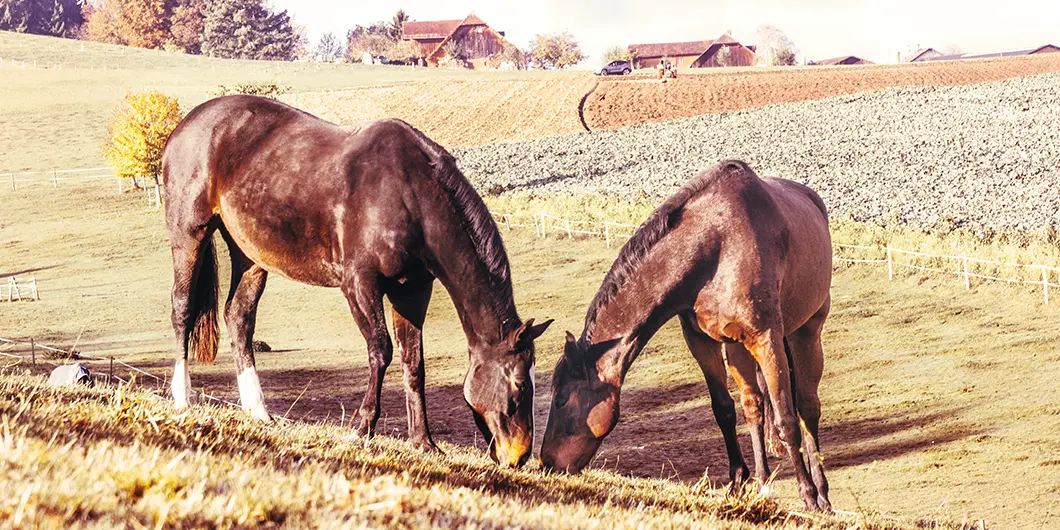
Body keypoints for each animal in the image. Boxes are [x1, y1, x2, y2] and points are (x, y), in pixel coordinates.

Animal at [162, 95, 552, 467]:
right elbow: (381, 350)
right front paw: (362, 428)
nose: (519, 456)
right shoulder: (359, 284)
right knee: (182, 308)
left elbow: (413, 362)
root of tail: (187, 125)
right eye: (519, 384)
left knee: (238, 317)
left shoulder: (412, 291)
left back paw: (257, 410)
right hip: (189, 234)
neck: (408, 194)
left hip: (250, 255)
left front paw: (424, 442)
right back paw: (183, 397)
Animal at [540, 160, 833, 511]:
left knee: (807, 407)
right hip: (736, 348)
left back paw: (822, 495)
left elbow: (787, 419)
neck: (716, 247)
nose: (546, 463)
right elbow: (723, 410)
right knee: (753, 406)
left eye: (561, 399)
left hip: (806, 332)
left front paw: (808, 496)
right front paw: (737, 484)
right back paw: (764, 486)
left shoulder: (766, 339)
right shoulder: (701, 341)